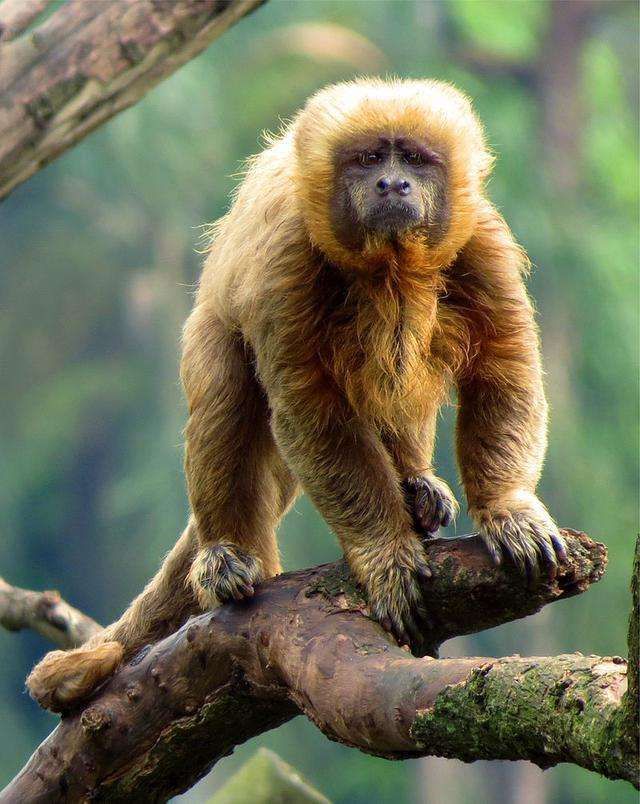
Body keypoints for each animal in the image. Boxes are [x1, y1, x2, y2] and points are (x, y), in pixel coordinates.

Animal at [26, 77, 567, 712]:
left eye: (414, 159)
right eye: (368, 160)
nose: (392, 185)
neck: (388, 264)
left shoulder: (482, 240)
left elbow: (503, 369)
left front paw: (508, 509)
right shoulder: (288, 259)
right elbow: (307, 407)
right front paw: (383, 552)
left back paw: (413, 479)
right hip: (210, 327)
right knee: (225, 395)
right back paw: (226, 556)